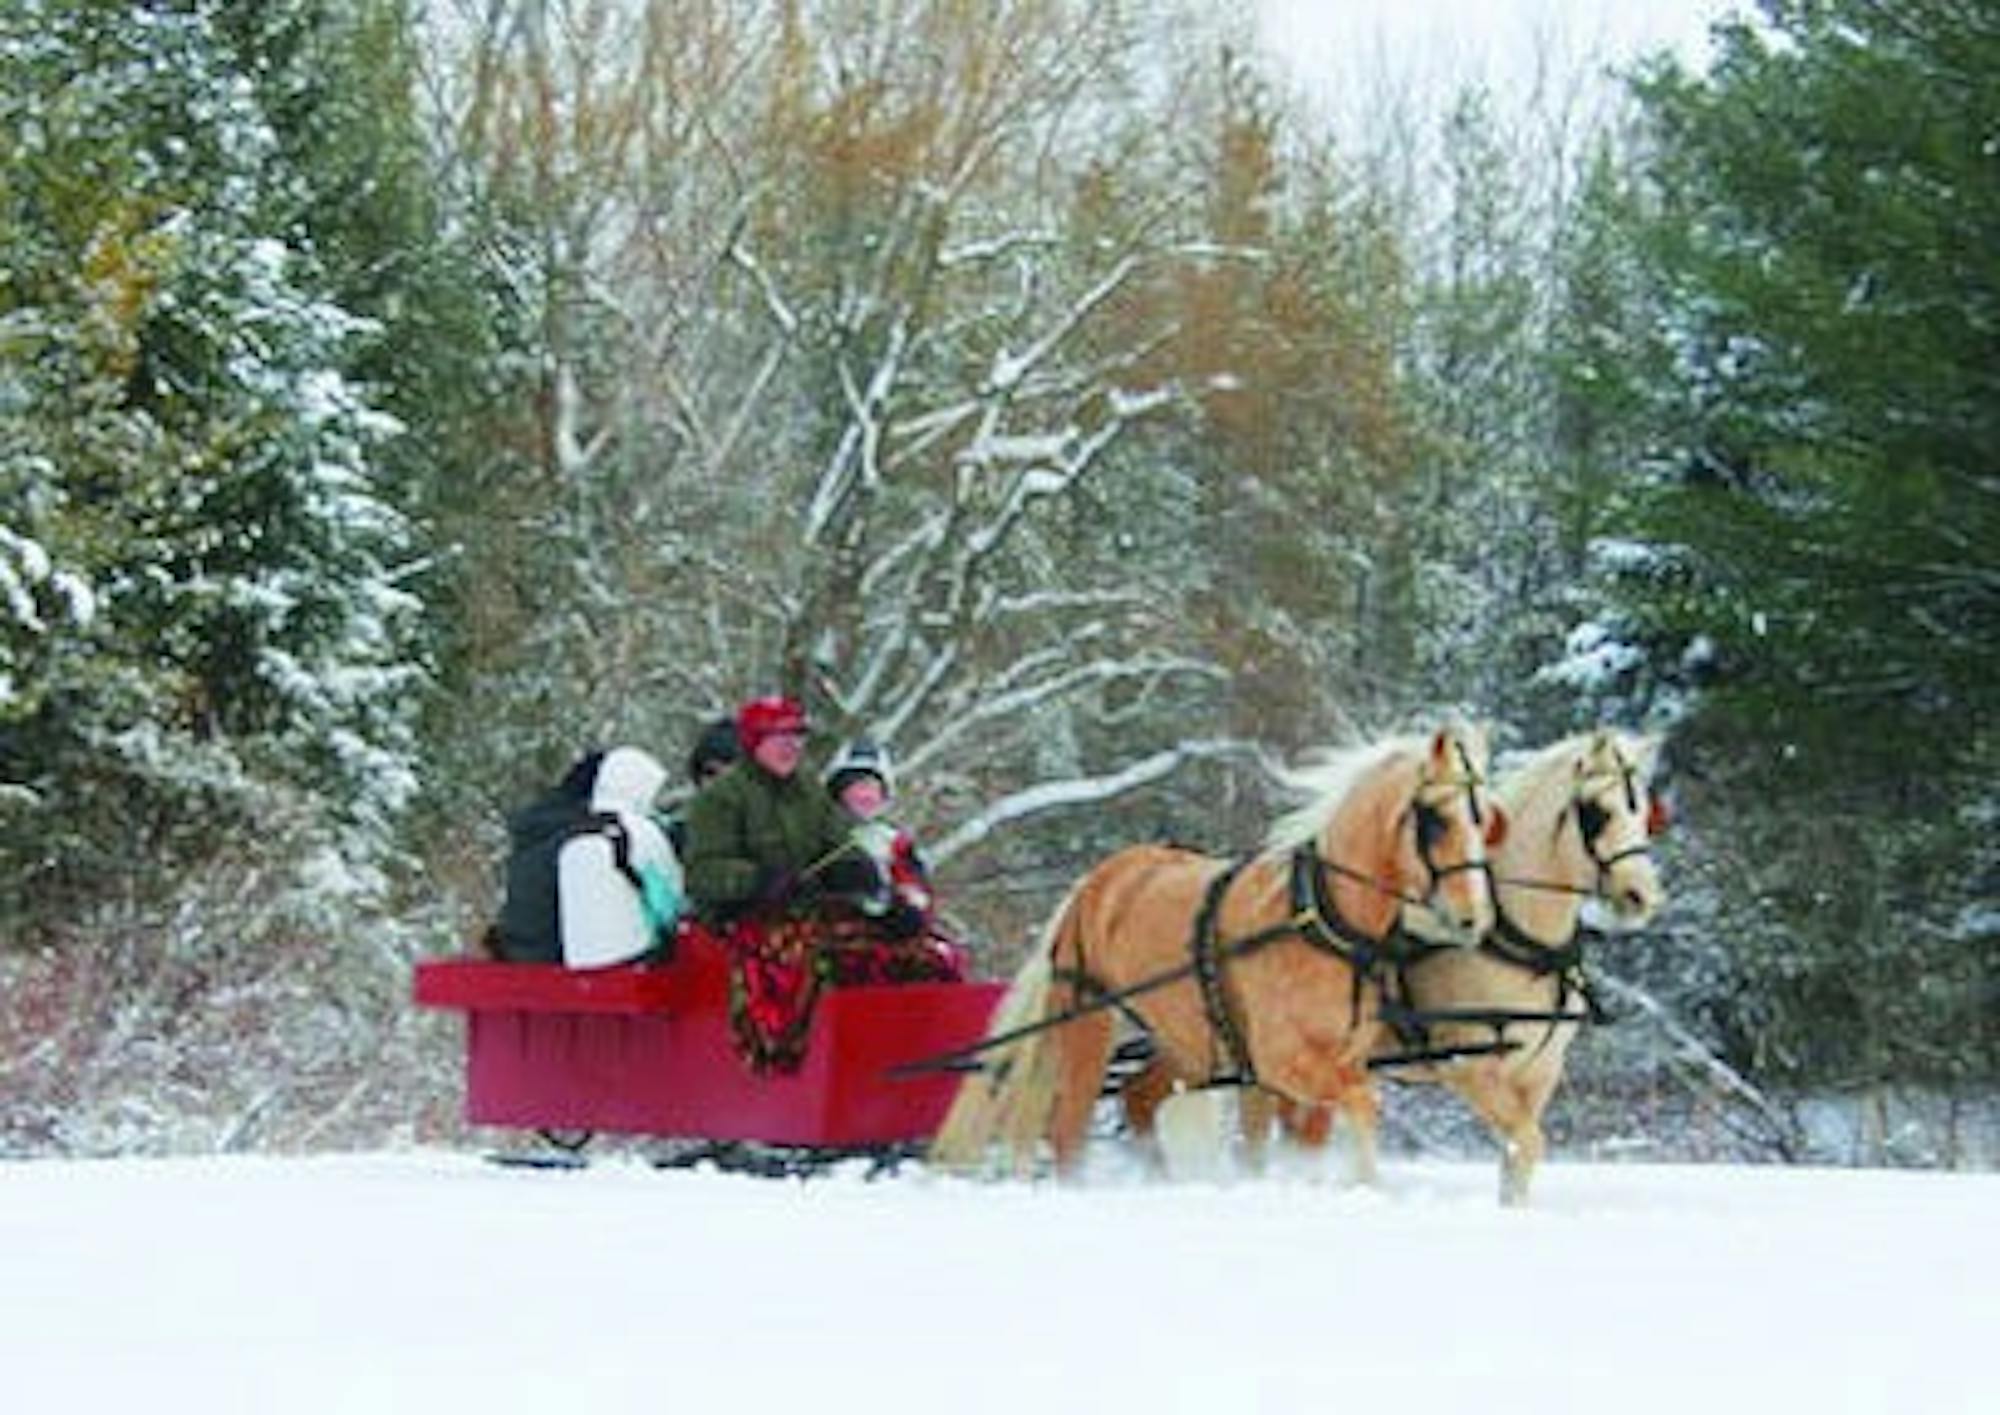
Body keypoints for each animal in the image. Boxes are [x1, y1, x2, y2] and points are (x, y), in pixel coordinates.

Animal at [932, 723, 1504, 1175]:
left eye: (1484, 821)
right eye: (1436, 818)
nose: (1475, 918)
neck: (1321, 921)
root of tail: (1098, 880)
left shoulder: (1323, 1066)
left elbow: (1313, 1137)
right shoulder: (1281, 1062)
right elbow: (1364, 1102)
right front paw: (1365, 1183)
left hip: (1186, 1041)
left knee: (1139, 1100)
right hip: (1086, 1021)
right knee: (1068, 1127)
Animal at [1128, 731, 1672, 1207]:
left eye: (1643, 812)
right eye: (1598, 812)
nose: (1642, 895)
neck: (1520, 944)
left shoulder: (1539, 1074)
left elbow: (1518, 1158)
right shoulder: (1468, 1066)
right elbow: (1529, 1142)